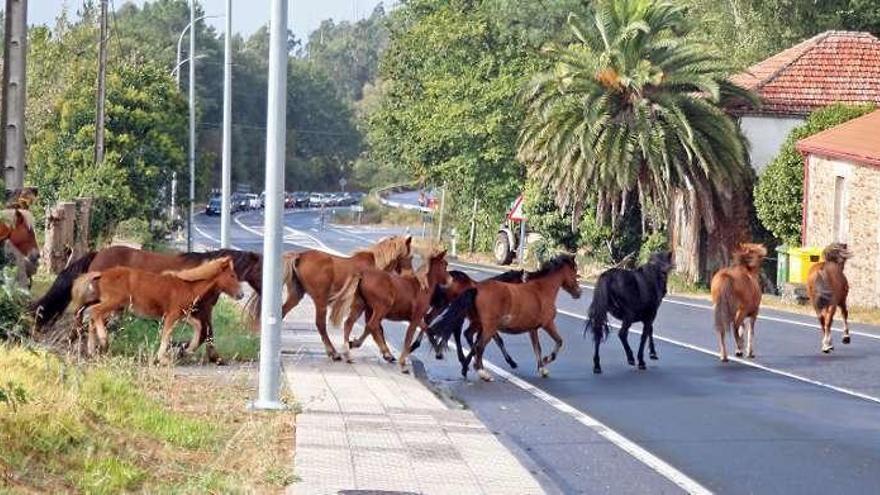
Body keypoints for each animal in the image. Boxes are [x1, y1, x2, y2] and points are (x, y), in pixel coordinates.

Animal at [34, 248, 262, 364]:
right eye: (260, 269)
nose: (242, 294)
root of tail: (97, 253)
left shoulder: (190, 312)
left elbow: (202, 330)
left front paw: (183, 350)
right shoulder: (197, 310)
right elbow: (206, 332)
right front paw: (184, 351)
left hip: (104, 300)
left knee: (85, 313)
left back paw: (87, 344)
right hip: (109, 302)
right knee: (85, 313)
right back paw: (90, 342)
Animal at [256, 235, 414, 360]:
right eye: (411, 256)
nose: (410, 275)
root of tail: (299, 256)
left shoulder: (369, 307)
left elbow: (375, 328)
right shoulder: (370, 307)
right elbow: (375, 328)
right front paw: (384, 352)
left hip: (296, 295)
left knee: (282, 313)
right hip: (320, 300)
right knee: (320, 324)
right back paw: (333, 352)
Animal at [430, 256, 580, 380]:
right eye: (575, 273)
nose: (578, 292)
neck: (542, 290)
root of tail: (476, 289)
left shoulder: (533, 329)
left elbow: (537, 347)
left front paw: (542, 368)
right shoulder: (548, 324)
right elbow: (559, 341)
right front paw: (546, 360)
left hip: (476, 322)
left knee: (467, 335)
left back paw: (465, 366)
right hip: (486, 326)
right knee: (478, 344)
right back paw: (481, 372)